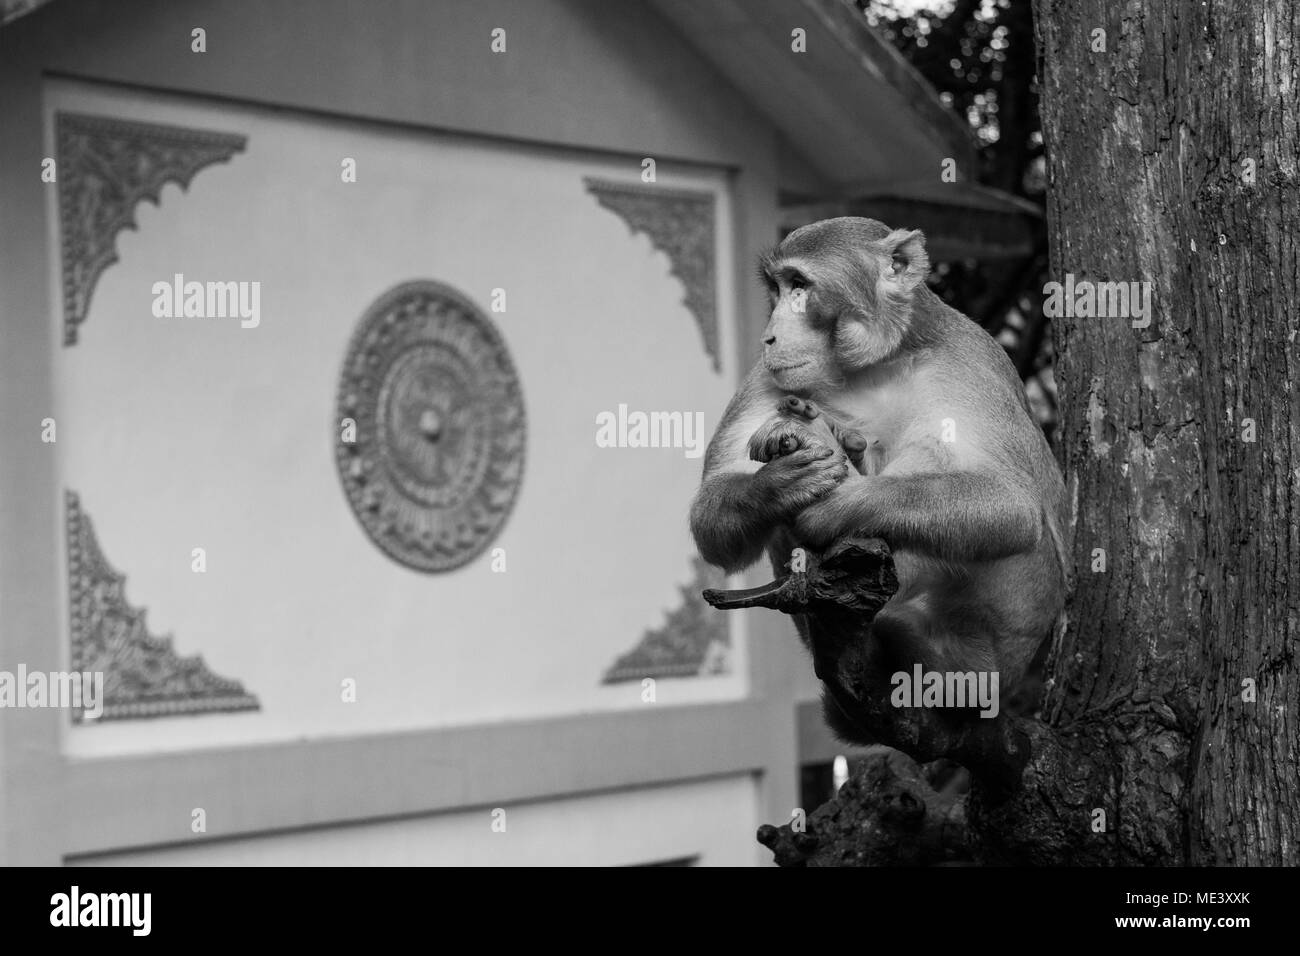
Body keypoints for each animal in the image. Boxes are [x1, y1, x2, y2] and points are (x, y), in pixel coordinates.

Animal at [691, 218, 1066, 738]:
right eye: (778, 288)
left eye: (800, 285)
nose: (769, 336)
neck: (871, 364)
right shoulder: (768, 376)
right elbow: (710, 515)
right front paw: (779, 484)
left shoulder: (968, 362)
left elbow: (1014, 506)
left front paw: (838, 501)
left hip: (994, 644)